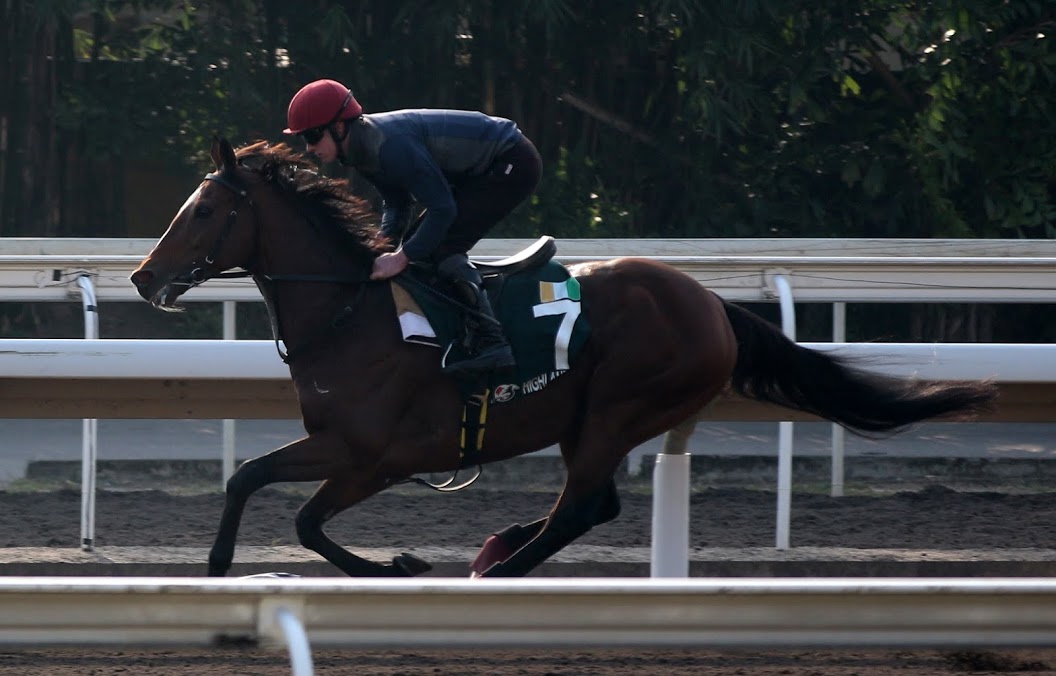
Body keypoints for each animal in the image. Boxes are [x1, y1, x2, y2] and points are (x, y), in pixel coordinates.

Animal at [127, 139, 992, 578]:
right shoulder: (346, 448)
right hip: (591, 418)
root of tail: (712, 304)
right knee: (590, 503)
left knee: (580, 507)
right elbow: (259, 487)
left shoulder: (372, 454)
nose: (141, 277)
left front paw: (394, 569)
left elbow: (289, 508)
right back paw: (501, 545)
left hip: (621, 404)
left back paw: (496, 566)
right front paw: (222, 565)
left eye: (203, 209)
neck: (352, 313)